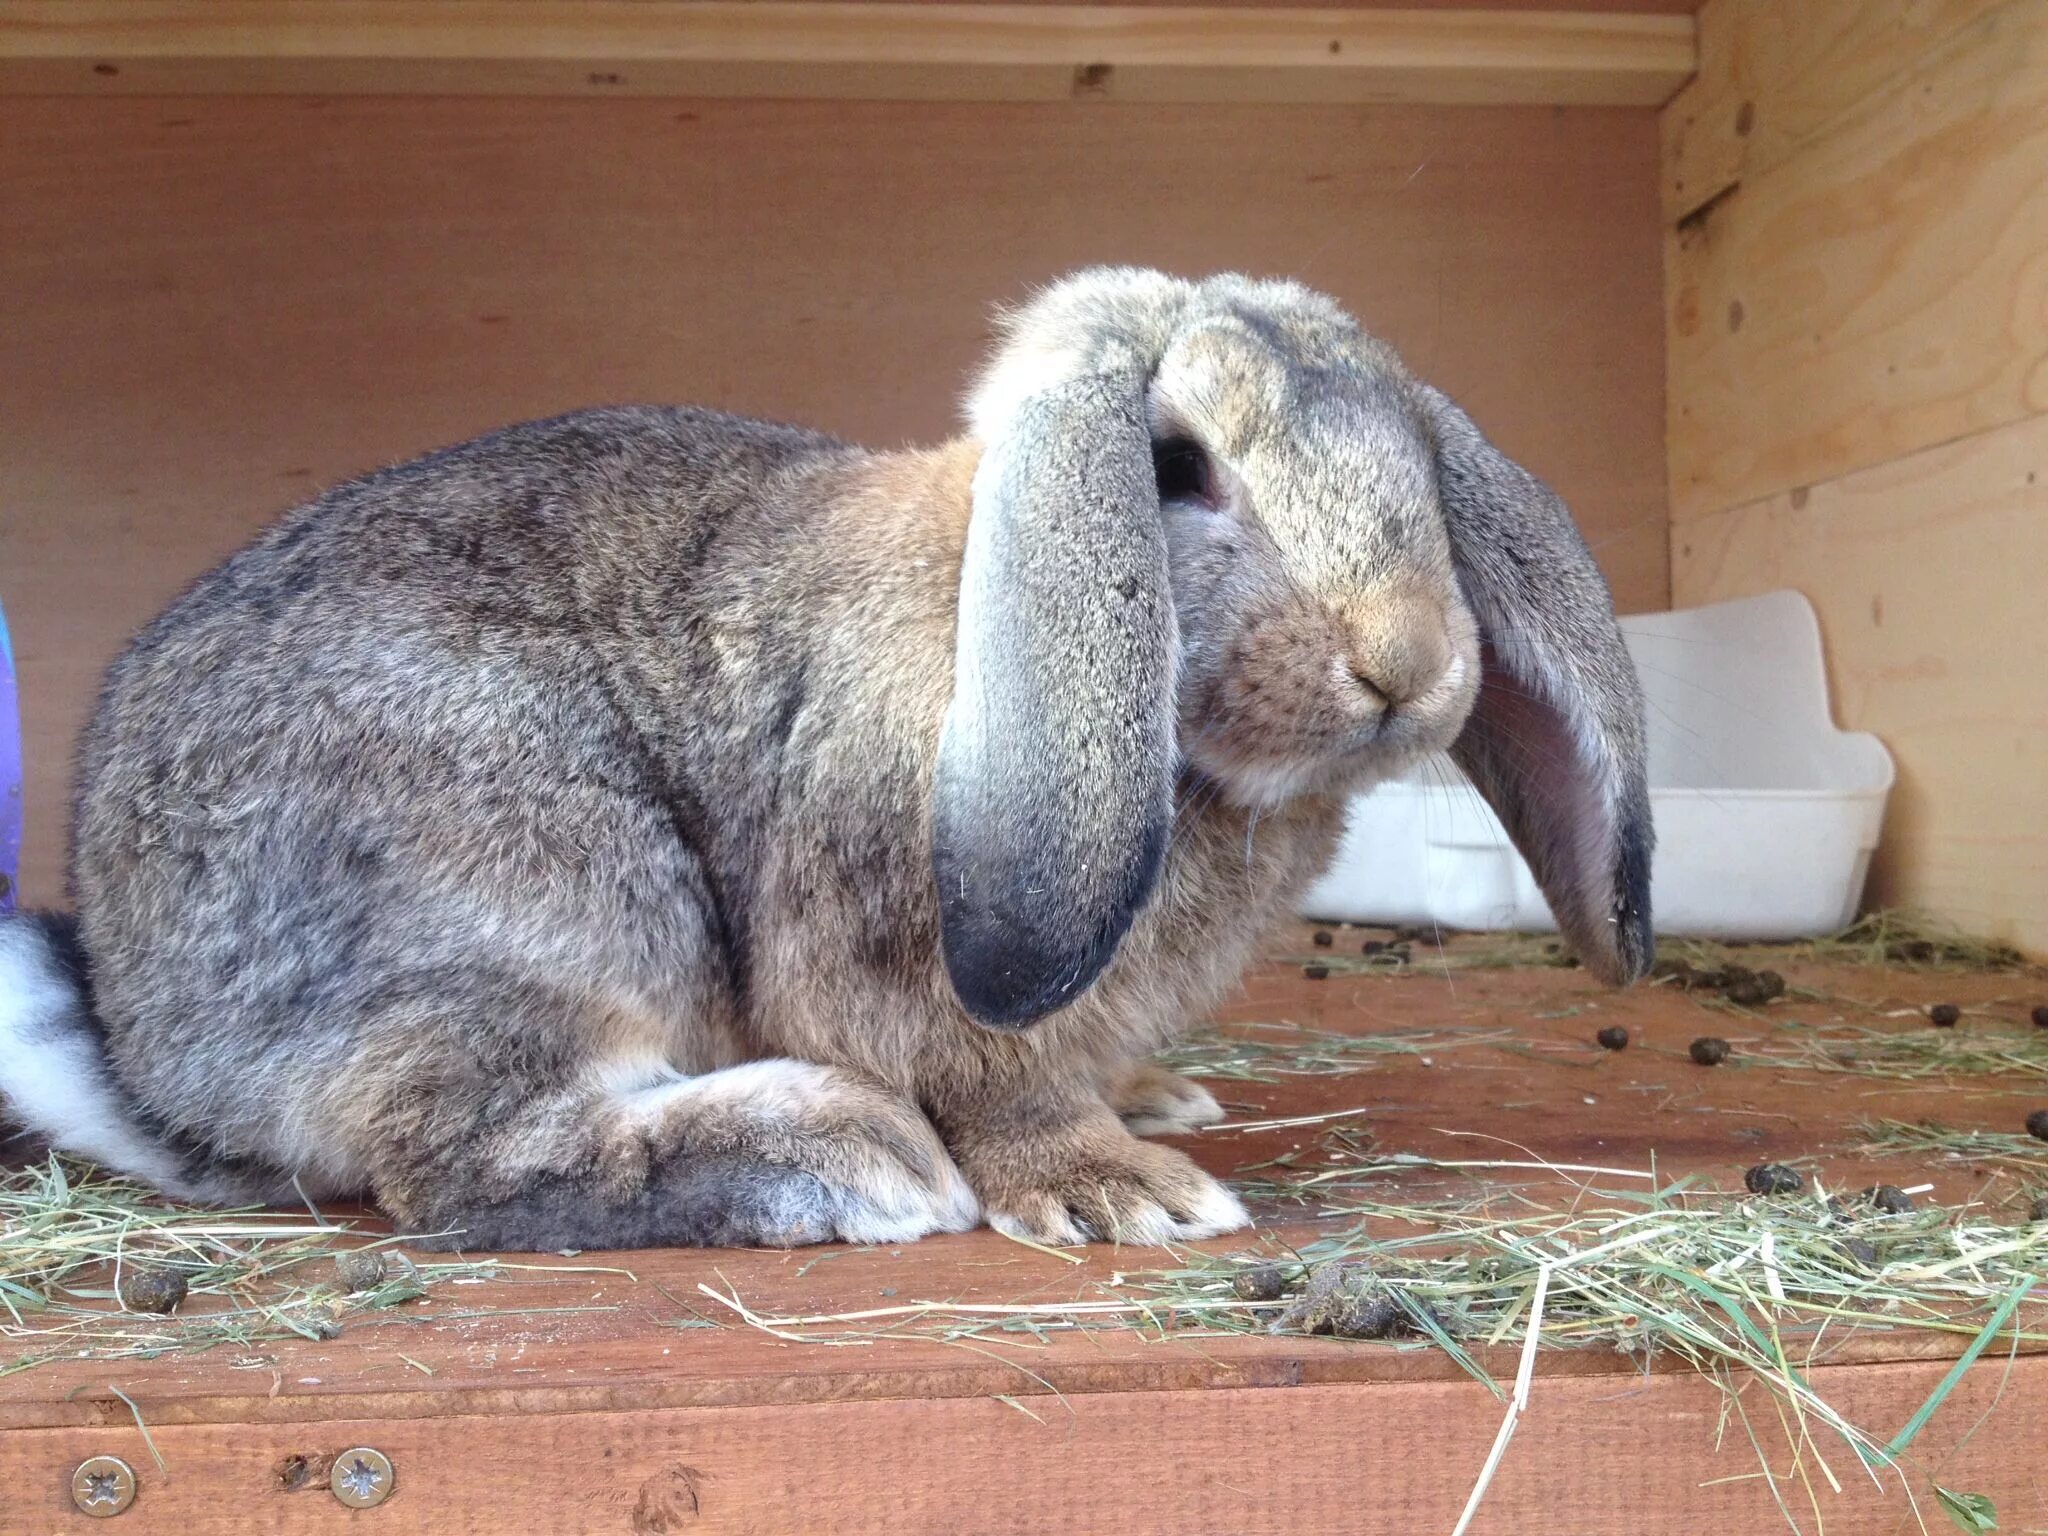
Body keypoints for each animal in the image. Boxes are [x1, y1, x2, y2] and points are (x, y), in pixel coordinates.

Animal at [0, 268, 1646, 1253]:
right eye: (1178, 470)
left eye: (1419, 475)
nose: (1409, 664)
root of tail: (153, 1054)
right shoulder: (908, 967)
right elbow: (999, 1085)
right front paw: (1121, 1194)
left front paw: (1155, 1107)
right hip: (551, 902)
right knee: (473, 1160)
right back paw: (851, 1159)